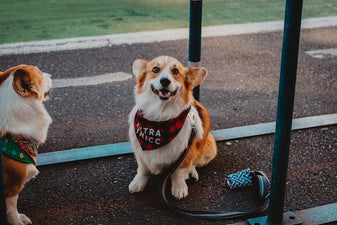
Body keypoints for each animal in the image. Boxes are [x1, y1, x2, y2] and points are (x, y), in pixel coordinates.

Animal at [127, 55, 217, 199]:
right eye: (155, 69)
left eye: (175, 71)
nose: (165, 81)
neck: (160, 117)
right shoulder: (140, 153)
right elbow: (143, 169)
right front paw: (138, 183)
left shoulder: (185, 152)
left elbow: (178, 172)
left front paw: (179, 188)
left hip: (209, 149)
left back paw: (192, 173)